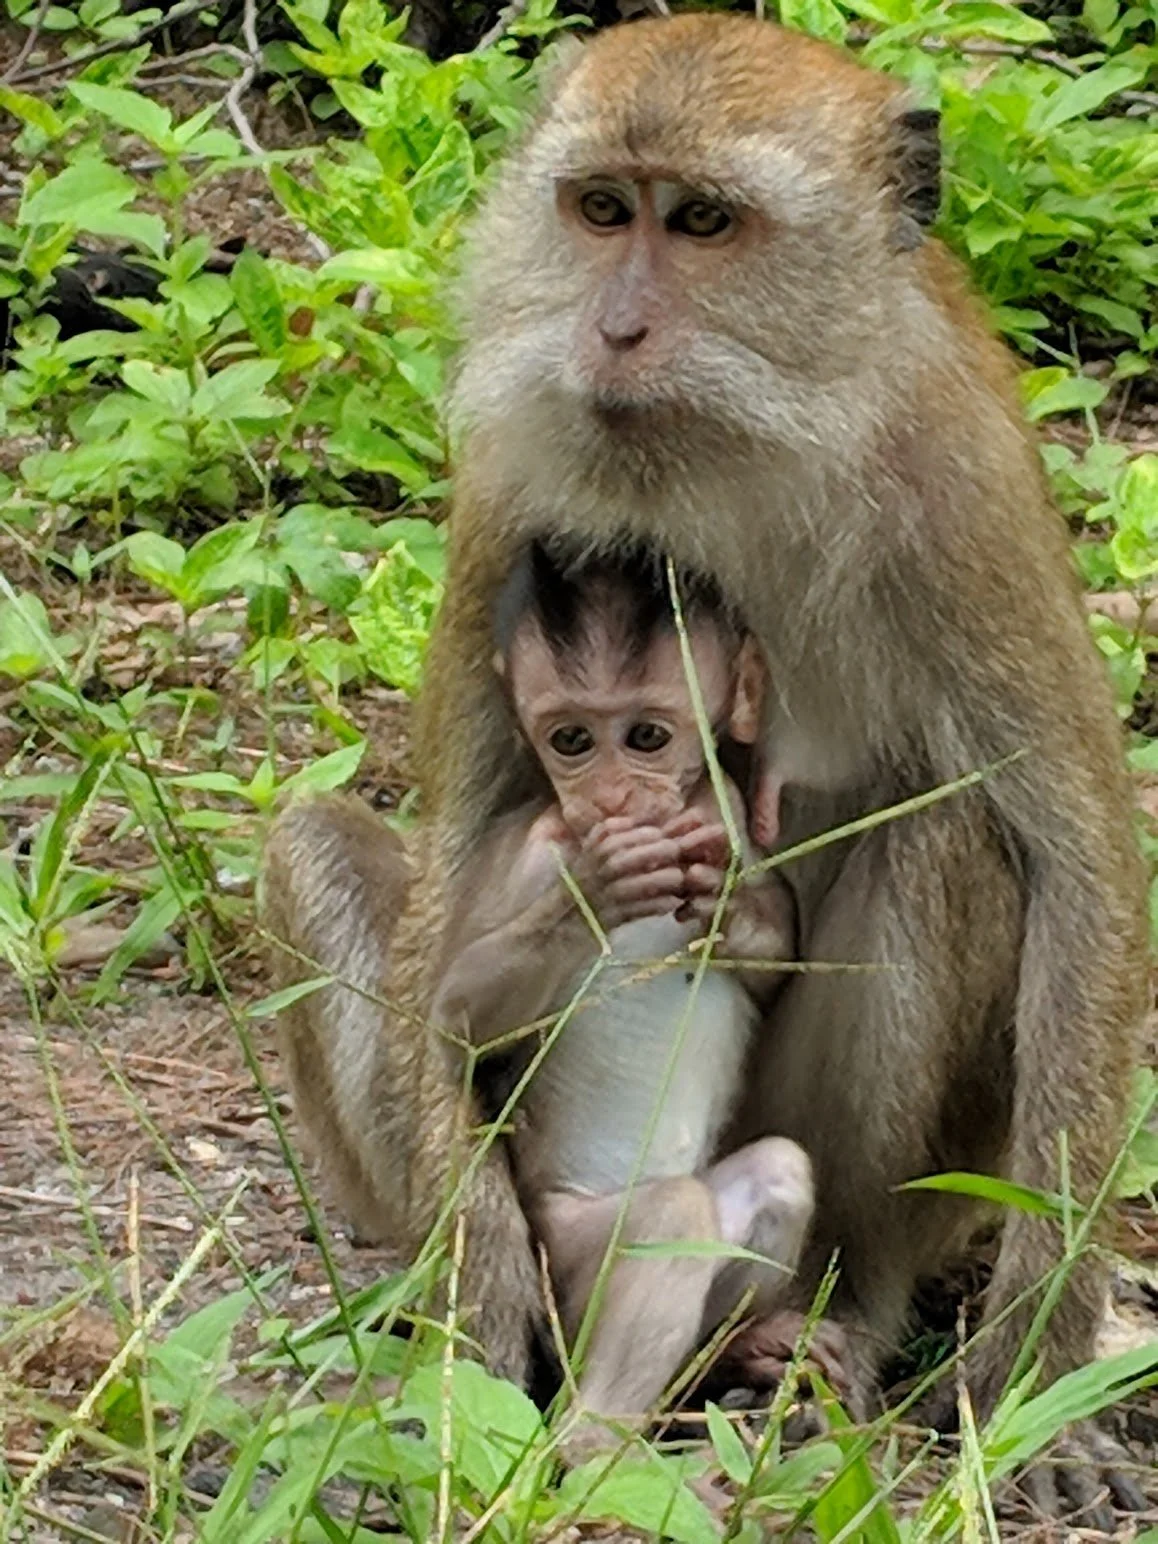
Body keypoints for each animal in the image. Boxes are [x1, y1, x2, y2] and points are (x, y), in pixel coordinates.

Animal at [429, 539, 813, 1439]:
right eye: (570, 739)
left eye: (644, 736)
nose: (606, 794)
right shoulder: (530, 850)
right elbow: (457, 1012)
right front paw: (599, 887)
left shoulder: (729, 817)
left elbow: (777, 948)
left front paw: (732, 914)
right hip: (565, 1261)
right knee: (670, 1218)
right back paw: (592, 1446)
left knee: (779, 1174)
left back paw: (727, 1368)